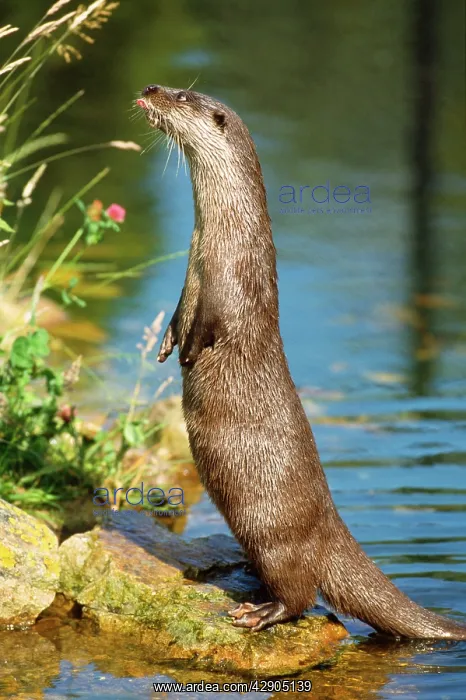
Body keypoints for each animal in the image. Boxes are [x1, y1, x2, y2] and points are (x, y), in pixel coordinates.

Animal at [136, 84, 466, 639]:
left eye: (182, 96)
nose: (150, 90)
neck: (221, 239)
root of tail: (331, 527)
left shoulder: (231, 284)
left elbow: (213, 325)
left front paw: (190, 352)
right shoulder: (192, 274)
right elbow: (180, 311)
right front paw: (166, 346)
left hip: (273, 534)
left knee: (301, 593)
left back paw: (259, 611)